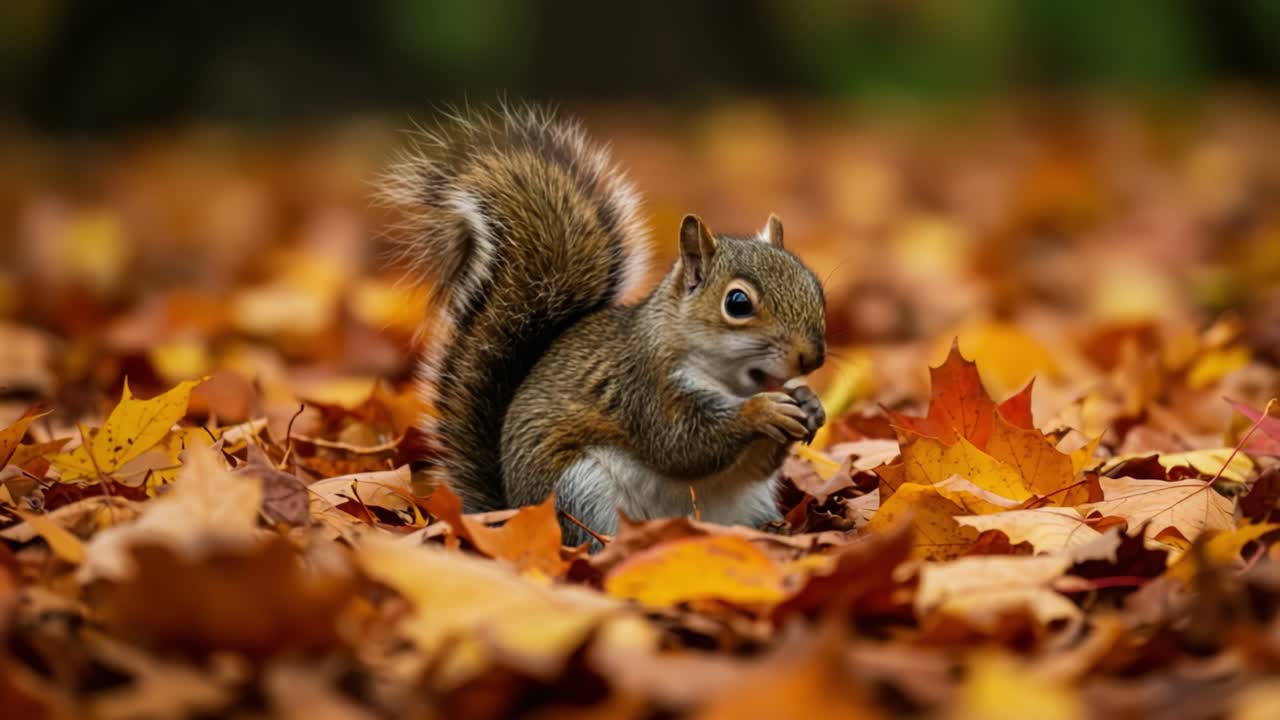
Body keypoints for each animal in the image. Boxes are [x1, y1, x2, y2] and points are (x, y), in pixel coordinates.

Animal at [382, 107, 827, 546]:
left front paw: (809, 404)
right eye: (738, 303)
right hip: (579, 489)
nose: (813, 358)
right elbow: (683, 445)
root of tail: (510, 512)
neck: (730, 380)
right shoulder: (645, 391)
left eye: (815, 285)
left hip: (746, 504)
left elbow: (754, 465)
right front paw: (760, 410)